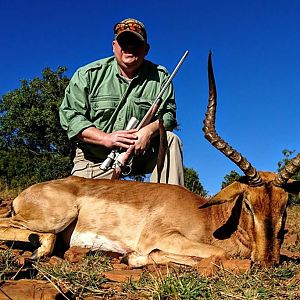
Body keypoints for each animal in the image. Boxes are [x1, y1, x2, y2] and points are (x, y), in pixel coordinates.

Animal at [0, 52, 298, 268]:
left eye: (285, 204)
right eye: (248, 203)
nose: (268, 261)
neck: (210, 220)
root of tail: (26, 193)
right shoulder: (162, 238)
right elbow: (217, 255)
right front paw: (132, 257)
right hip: (55, 218)